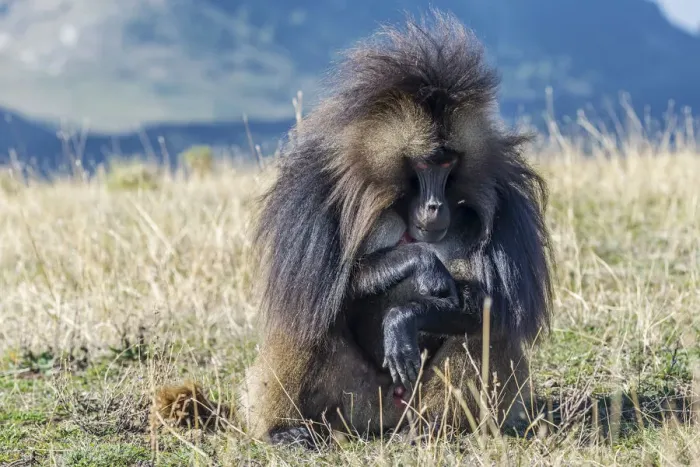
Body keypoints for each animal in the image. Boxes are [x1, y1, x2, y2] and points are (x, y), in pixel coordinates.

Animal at [152, 9, 553, 450]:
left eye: (448, 164)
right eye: (424, 164)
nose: (434, 207)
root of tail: (389, 418)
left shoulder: (507, 203)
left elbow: (498, 304)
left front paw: (404, 318)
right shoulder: (314, 190)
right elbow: (319, 287)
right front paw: (419, 263)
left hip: (406, 401)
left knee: (483, 321)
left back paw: (432, 431)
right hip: (352, 401)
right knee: (308, 311)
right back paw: (283, 429)